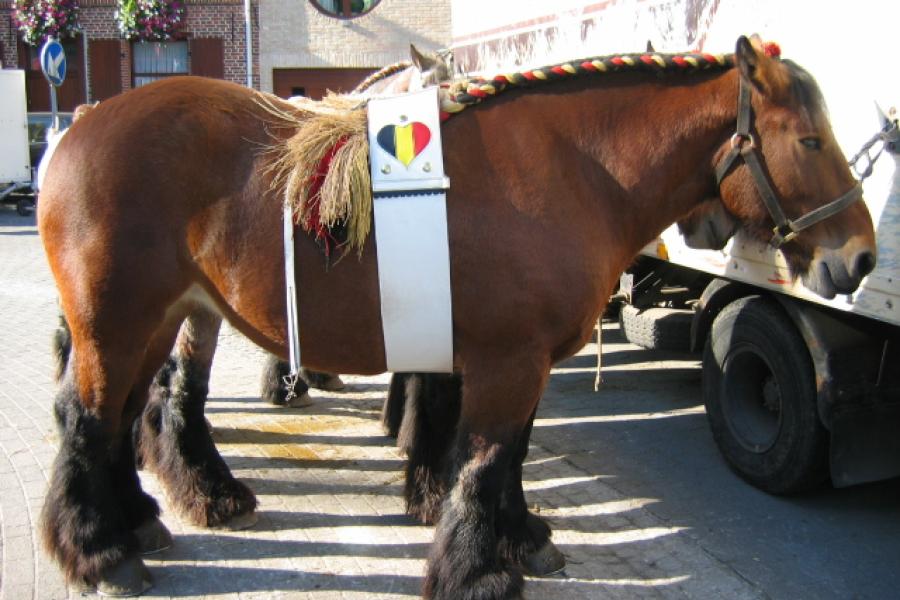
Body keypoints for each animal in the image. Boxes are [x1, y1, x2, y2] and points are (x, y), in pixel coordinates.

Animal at [37, 36, 876, 598]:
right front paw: (477, 570)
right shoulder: (506, 362)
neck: (573, 169)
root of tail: (80, 127)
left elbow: (508, 457)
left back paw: (137, 521)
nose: (861, 258)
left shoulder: (521, 360)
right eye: (810, 139)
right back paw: (100, 550)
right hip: (116, 323)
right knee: (88, 418)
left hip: (157, 320)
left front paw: (522, 538)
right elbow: (484, 459)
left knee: (121, 417)